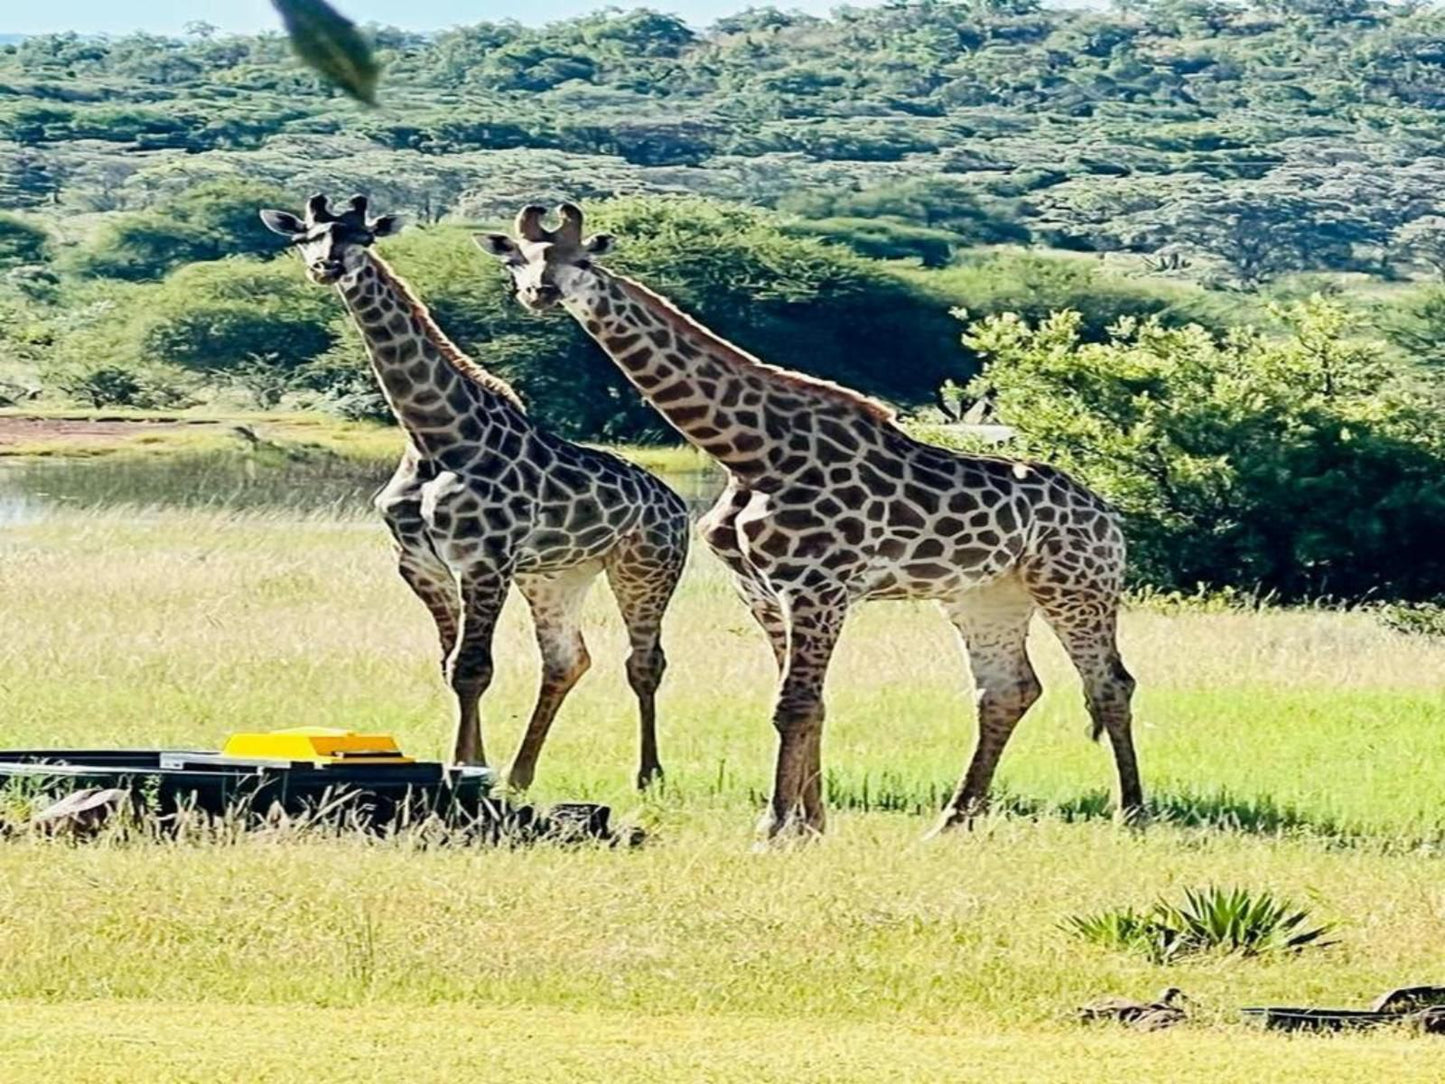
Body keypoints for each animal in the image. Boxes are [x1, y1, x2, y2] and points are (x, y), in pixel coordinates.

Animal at [262, 195, 690, 792]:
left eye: (362, 238)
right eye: (306, 238)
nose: (327, 267)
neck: (435, 436)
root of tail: (676, 505)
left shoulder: (484, 561)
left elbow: (473, 668)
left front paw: (466, 767)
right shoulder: (420, 564)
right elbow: (452, 666)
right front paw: (475, 764)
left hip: (645, 567)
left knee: (645, 662)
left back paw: (648, 775)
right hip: (557, 574)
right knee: (567, 659)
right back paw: (521, 774)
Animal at [479, 203, 1144, 838]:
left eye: (583, 261)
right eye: (518, 260)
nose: (540, 292)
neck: (749, 451)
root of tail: (1109, 516)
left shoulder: (817, 587)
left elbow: (794, 705)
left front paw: (776, 826)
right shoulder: (764, 592)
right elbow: (806, 704)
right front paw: (809, 822)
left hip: (1076, 586)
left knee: (1110, 683)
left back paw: (1130, 812)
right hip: (986, 595)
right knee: (1007, 691)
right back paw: (952, 821)